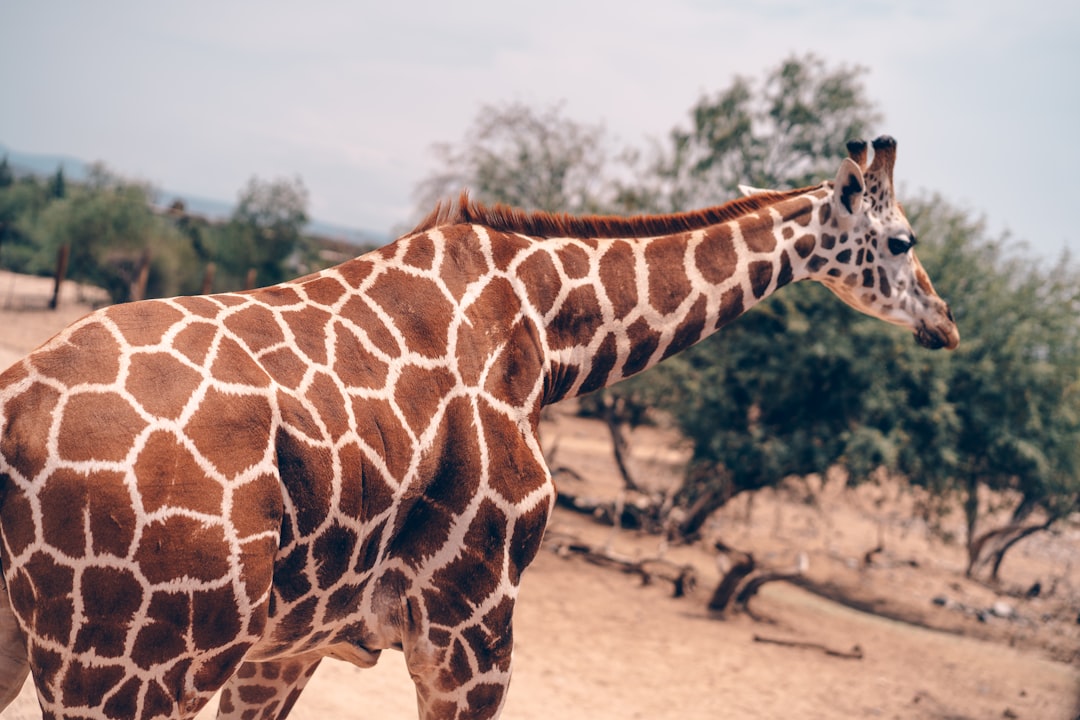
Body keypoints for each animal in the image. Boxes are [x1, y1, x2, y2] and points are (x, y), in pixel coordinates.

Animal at [0, 136, 963, 720]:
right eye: (905, 241)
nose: (947, 324)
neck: (547, 333)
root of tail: (11, 413)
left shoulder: (298, 641)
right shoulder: (472, 628)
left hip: (39, 643)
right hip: (130, 668)